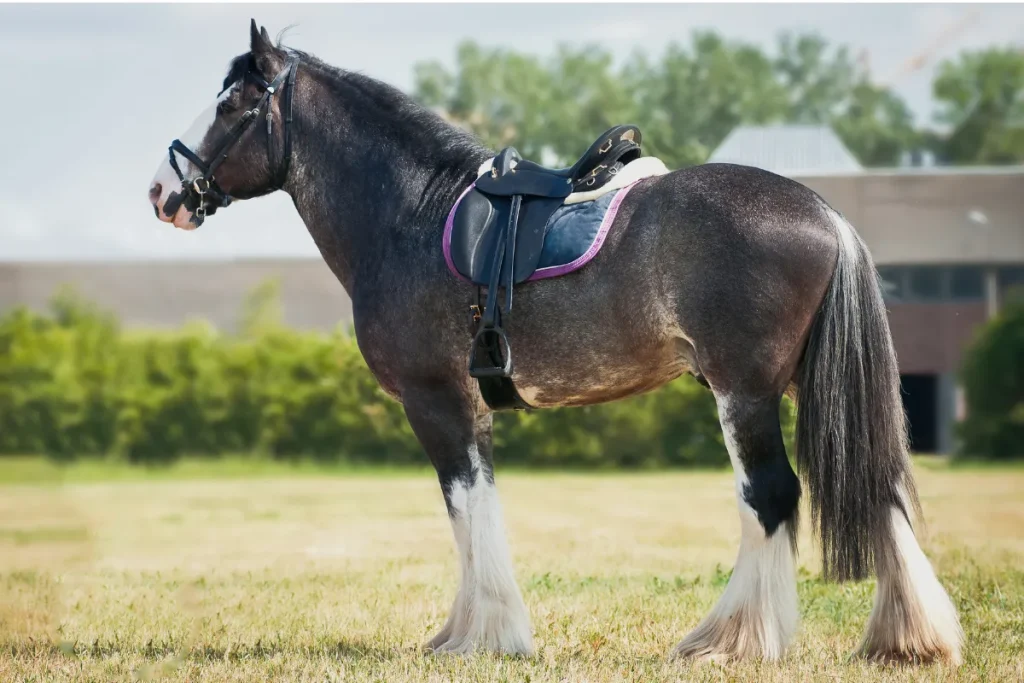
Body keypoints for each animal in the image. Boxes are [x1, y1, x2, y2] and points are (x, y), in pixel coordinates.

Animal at [147, 20, 963, 665]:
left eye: (233, 104)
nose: (163, 191)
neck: (412, 214)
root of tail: (827, 215)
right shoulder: (467, 405)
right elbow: (477, 509)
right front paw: (473, 631)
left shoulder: (435, 400)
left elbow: (466, 507)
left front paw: (483, 637)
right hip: (809, 385)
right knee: (878, 481)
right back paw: (908, 639)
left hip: (747, 392)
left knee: (770, 495)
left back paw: (732, 640)